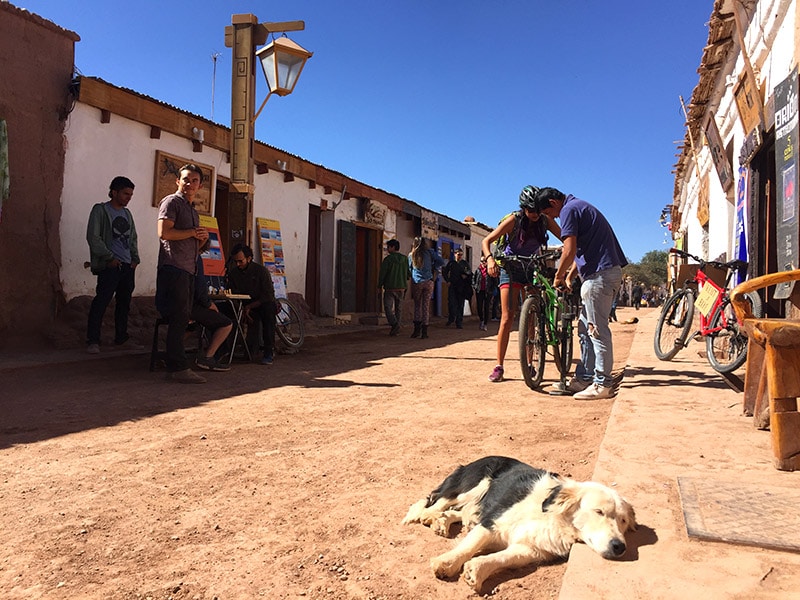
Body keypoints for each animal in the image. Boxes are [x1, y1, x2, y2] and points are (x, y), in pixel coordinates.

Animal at [400, 454, 636, 592]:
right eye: (599, 511)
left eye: (623, 521)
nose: (620, 547)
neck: (553, 518)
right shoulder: (492, 523)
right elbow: (469, 546)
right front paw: (446, 563)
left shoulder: (532, 549)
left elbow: (502, 558)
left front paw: (477, 570)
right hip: (473, 484)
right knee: (440, 501)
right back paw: (429, 516)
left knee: (461, 512)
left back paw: (443, 522)